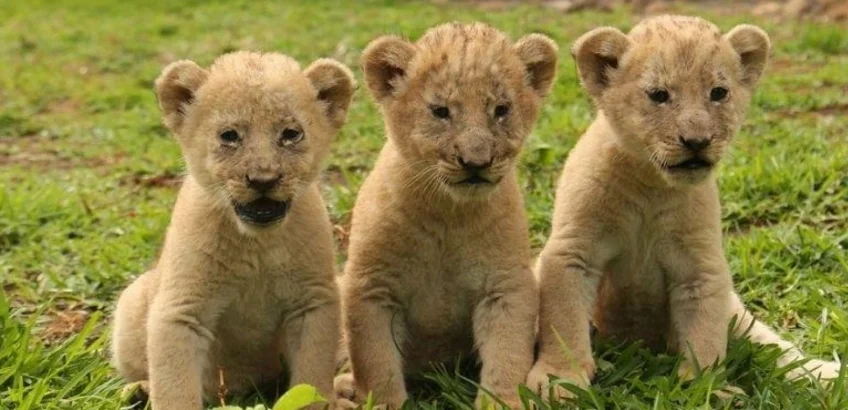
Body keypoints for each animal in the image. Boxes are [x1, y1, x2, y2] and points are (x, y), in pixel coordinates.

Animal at [110, 51, 355, 410]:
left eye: (291, 133)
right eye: (229, 135)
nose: (263, 180)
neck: (257, 245)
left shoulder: (313, 301)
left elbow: (311, 375)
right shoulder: (182, 309)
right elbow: (174, 385)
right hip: (132, 303)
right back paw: (138, 390)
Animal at [333, 23, 558, 409]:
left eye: (501, 109)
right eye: (440, 111)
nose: (475, 161)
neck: (448, 215)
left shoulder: (506, 285)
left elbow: (507, 355)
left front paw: (500, 401)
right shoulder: (370, 287)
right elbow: (377, 362)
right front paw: (384, 402)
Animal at [526, 15, 842, 399]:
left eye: (718, 92)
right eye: (659, 95)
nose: (697, 142)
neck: (651, 184)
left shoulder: (700, 264)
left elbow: (704, 333)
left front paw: (709, 389)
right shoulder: (574, 250)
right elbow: (563, 320)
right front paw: (557, 381)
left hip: (738, 314)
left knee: (773, 345)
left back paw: (826, 373)